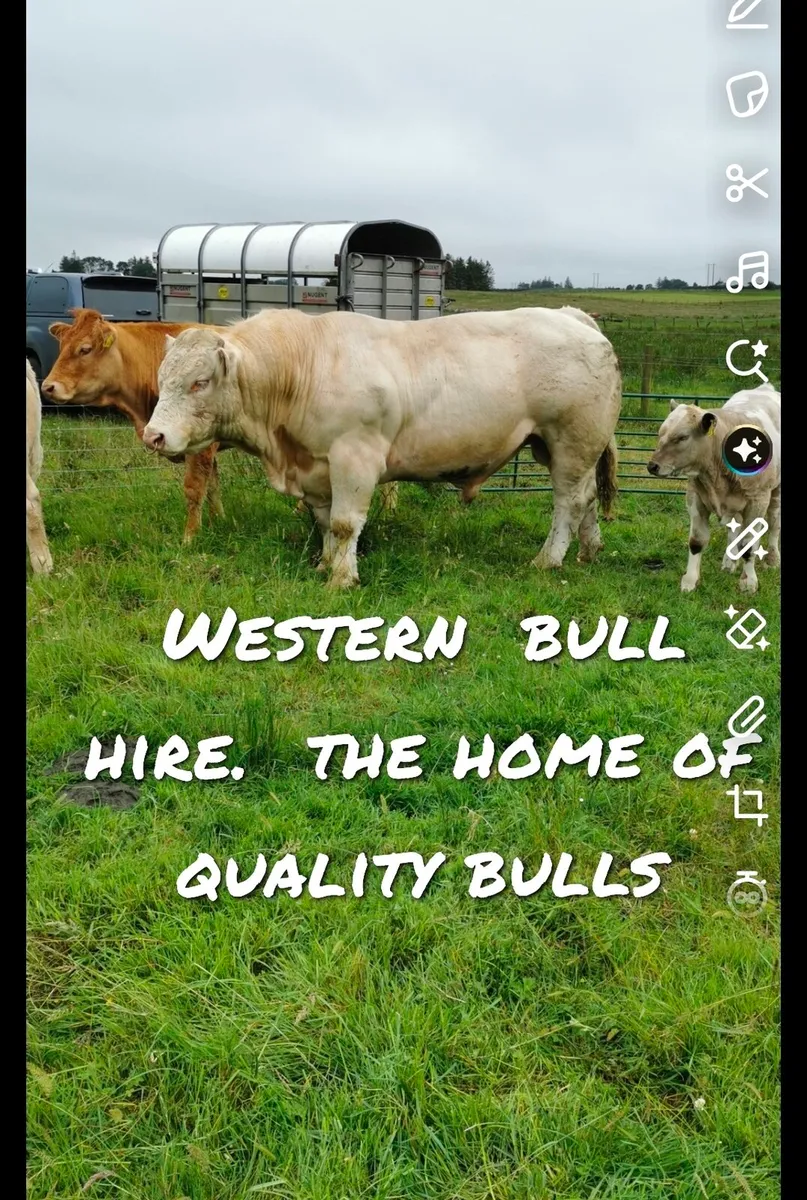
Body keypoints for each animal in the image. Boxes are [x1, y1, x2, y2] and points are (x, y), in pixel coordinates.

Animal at [141, 305, 621, 589]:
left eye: (200, 382)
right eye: (163, 377)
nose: (153, 436)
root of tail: (572, 316)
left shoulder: (354, 457)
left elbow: (344, 524)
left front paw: (342, 579)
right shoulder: (318, 467)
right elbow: (324, 522)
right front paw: (325, 565)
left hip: (571, 440)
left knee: (568, 501)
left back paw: (548, 559)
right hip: (562, 446)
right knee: (587, 498)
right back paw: (588, 551)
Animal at [647, 383, 780, 595]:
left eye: (682, 437)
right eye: (661, 434)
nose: (652, 466)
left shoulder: (757, 501)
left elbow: (749, 544)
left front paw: (749, 582)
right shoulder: (696, 498)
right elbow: (696, 542)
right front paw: (690, 580)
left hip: (775, 493)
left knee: (774, 522)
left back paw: (772, 559)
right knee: (735, 527)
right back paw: (729, 561)